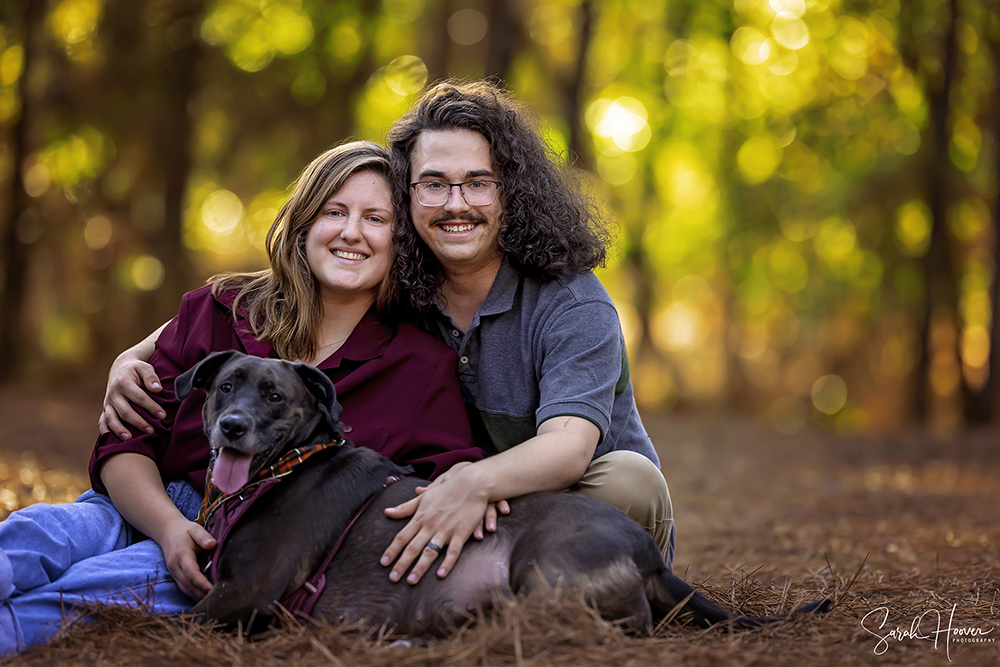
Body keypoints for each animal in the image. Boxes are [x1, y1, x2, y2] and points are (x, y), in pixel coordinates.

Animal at [174, 352, 828, 636]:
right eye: (226, 385)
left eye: (275, 396)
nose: (231, 425)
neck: (290, 465)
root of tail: (647, 555)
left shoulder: (247, 594)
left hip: (542, 573)